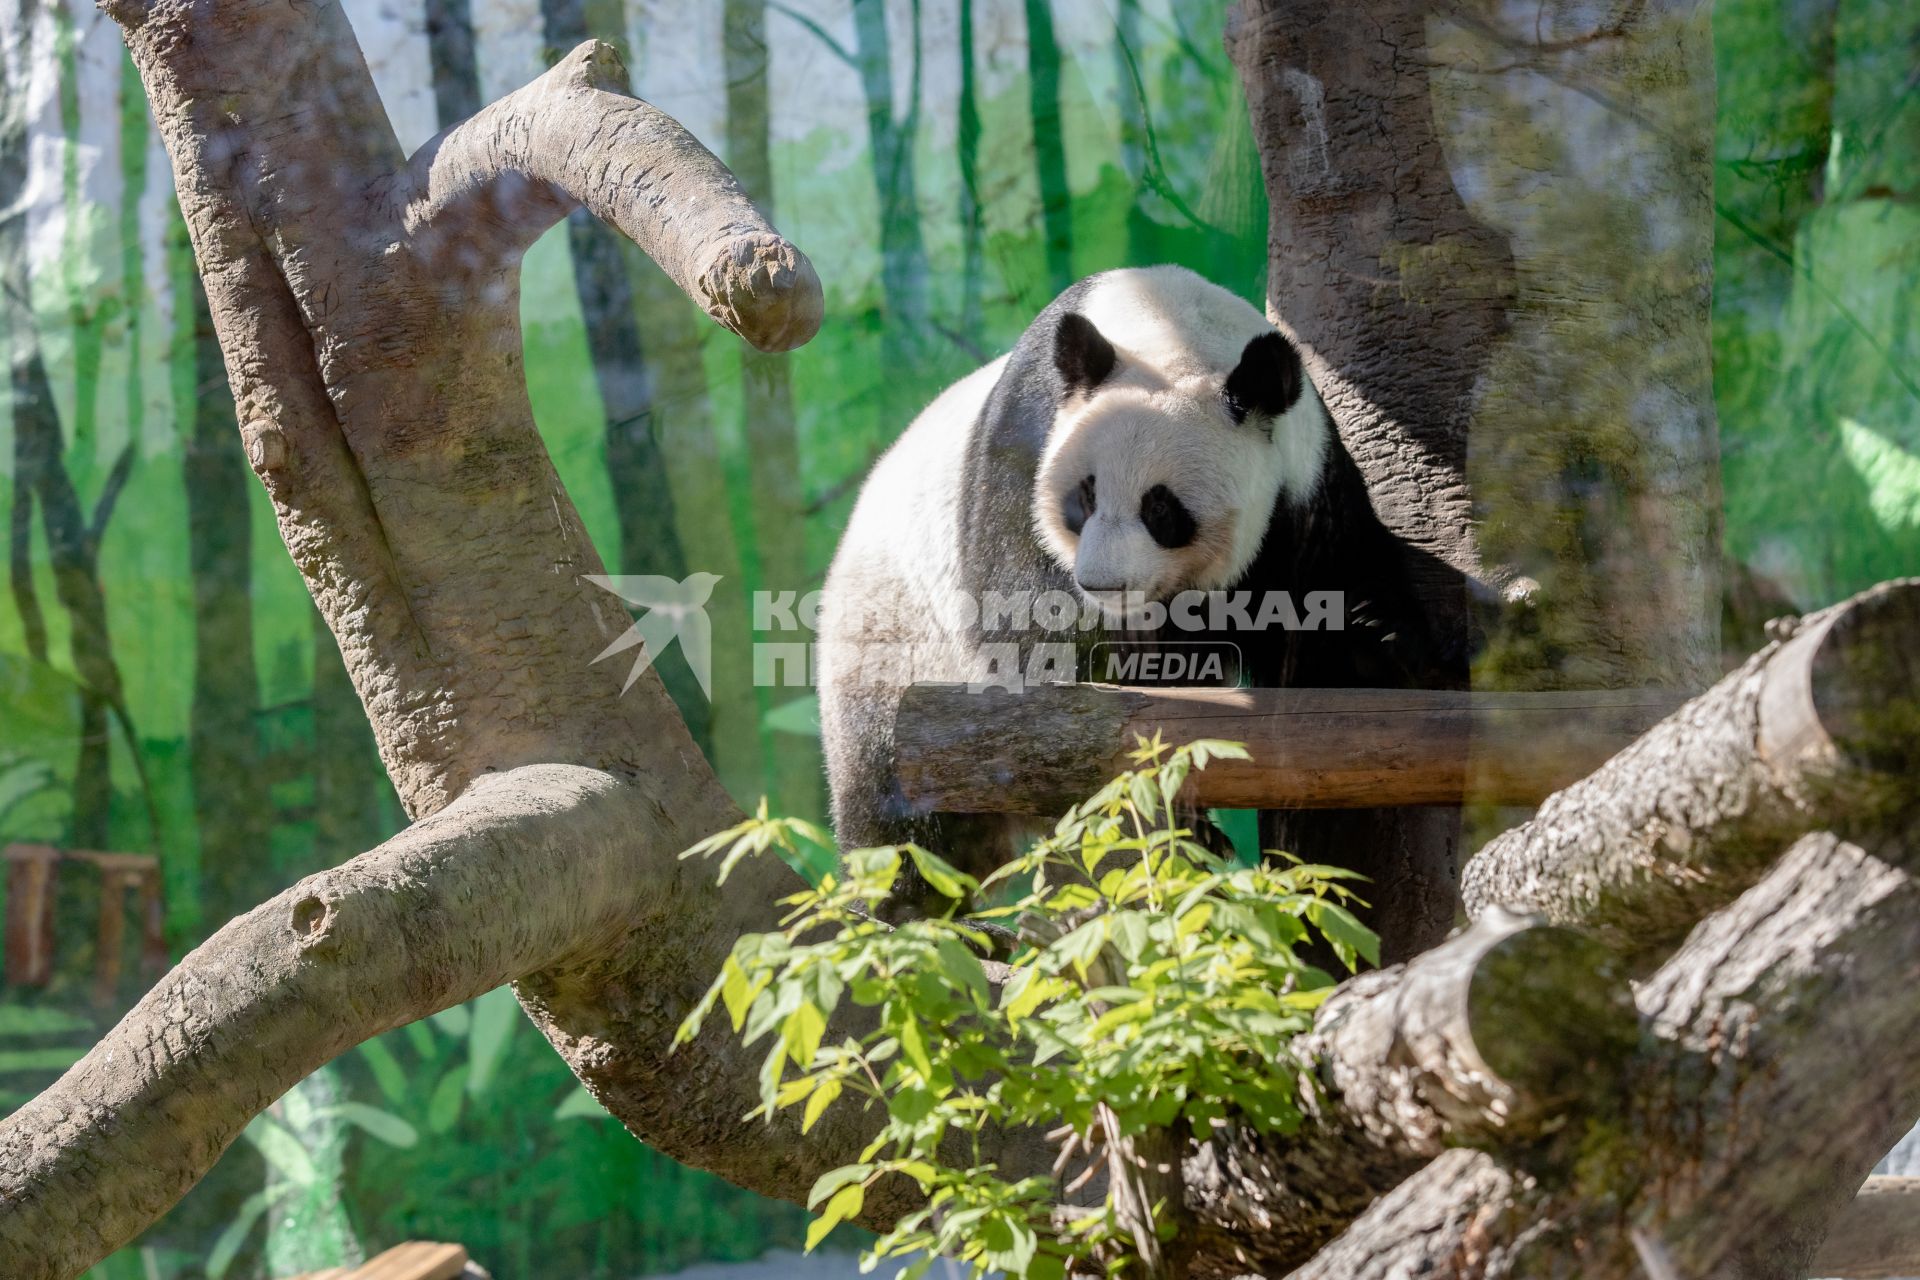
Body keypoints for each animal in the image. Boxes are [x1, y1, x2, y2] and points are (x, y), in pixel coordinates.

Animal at [817, 264, 1443, 921]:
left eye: (1160, 508)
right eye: (1085, 495)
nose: (1099, 582)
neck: (1166, 327)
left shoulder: (1304, 488)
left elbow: (1330, 604)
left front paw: (1378, 642)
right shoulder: (1025, 449)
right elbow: (1035, 635)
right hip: (894, 639)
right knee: (903, 816)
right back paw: (905, 912)